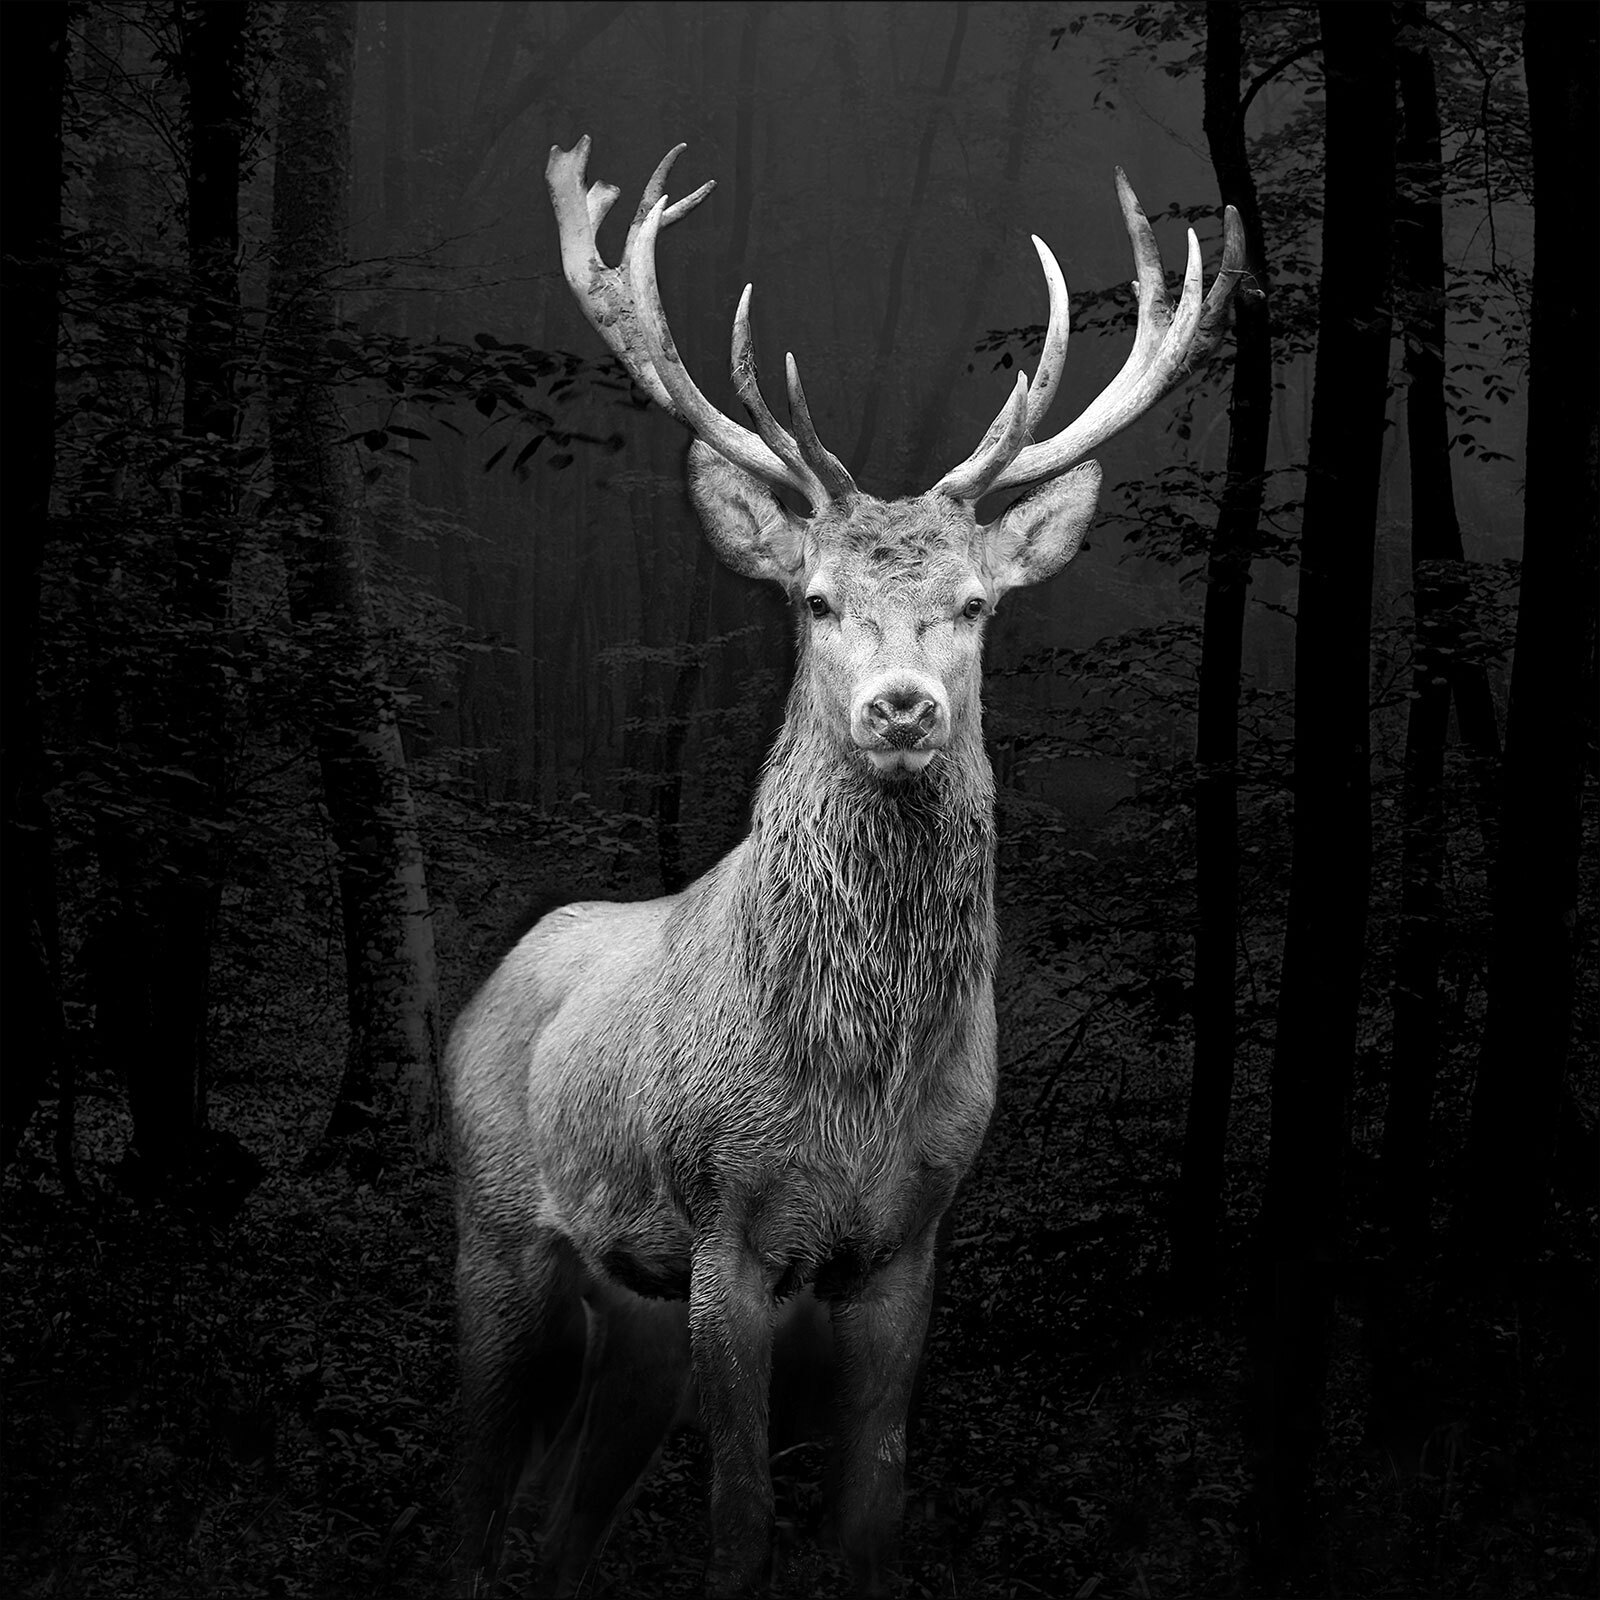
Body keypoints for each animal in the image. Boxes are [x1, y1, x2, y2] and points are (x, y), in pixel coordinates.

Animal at [449, 135, 1244, 1598]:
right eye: (815, 600)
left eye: (975, 605)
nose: (902, 707)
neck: (856, 1090)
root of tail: (488, 983)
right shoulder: (725, 1223)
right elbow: (741, 1524)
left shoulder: (911, 1241)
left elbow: (871, 1513)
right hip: (499, 1228)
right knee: (471, 1492)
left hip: (628, 1306)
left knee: (565, 1519)